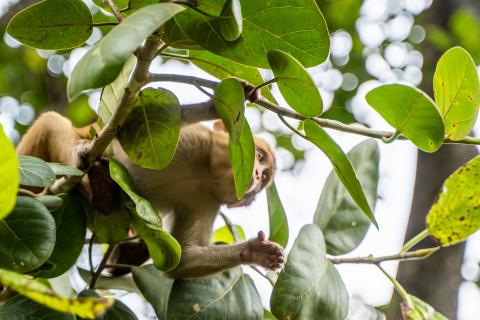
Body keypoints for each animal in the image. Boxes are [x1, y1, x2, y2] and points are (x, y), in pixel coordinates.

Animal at [16, 112, 284, 278]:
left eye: (264, 177)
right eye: (259, 156)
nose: (256, 174)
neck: (204, 174)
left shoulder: (206, 202)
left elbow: (183, 259)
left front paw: (253, 251)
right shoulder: (191, 138)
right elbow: (122, 133)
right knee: (51, 122)